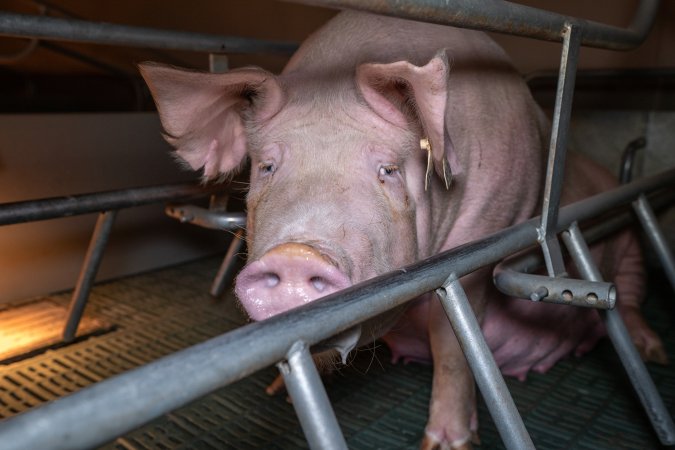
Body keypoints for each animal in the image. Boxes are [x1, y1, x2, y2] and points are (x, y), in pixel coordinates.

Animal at [140, 10, 668, 450]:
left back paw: (655, 353)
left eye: (388, 171)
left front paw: (445, 445)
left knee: (630, 300)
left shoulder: (480, 241)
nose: (296, 255)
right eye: (268, 167)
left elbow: (451, 341)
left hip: (630, 247)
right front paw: (281, 393)